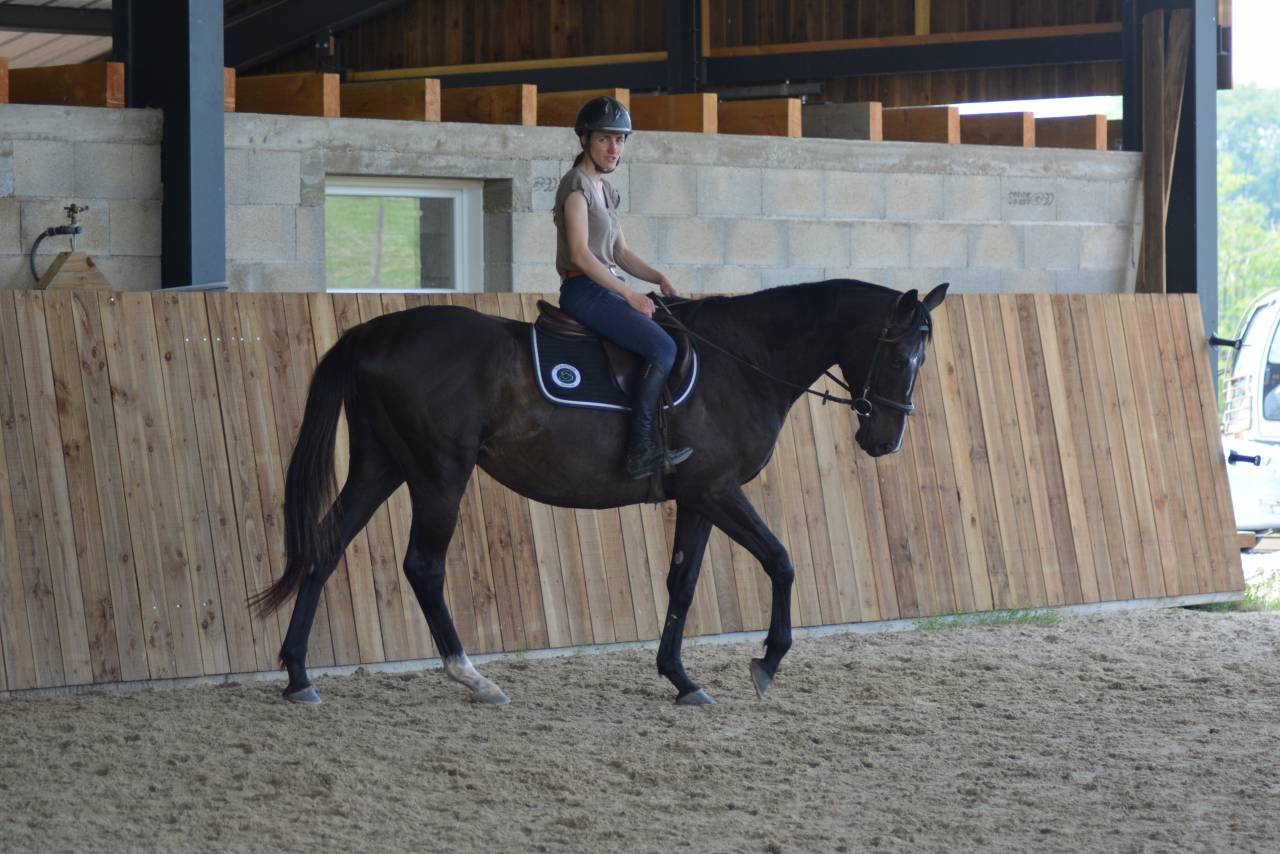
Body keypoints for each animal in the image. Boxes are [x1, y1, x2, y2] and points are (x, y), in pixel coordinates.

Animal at [252, 278, 949, 706]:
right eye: (898, 359)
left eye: (922, 361)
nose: (886, 441)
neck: (741, 361)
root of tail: (372, 334)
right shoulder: (717, 489)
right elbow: (780, 560)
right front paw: (767, 663)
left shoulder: (697, 497)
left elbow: (683, 583)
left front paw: (681, 679)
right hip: (438, 473)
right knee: (423, 566)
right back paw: (472, 677)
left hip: (381, 466)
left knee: (324, 549)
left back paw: (298, 676)